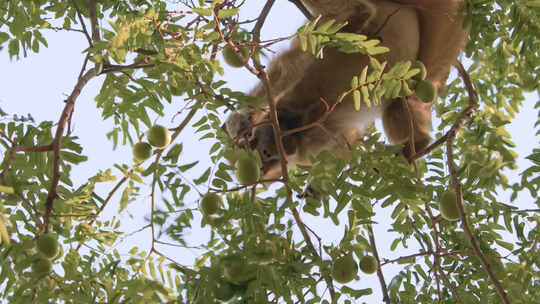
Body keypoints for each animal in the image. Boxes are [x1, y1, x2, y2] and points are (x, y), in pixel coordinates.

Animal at [224, 0, 468, 179]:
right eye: (260, 160)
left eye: (257, 149)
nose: (265, 157)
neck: (297, 120)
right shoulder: (311, 147)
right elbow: (347, 143)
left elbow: (285, 69)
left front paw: (242, 120)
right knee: (398, 103)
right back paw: (416, 145)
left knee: (350, 16)